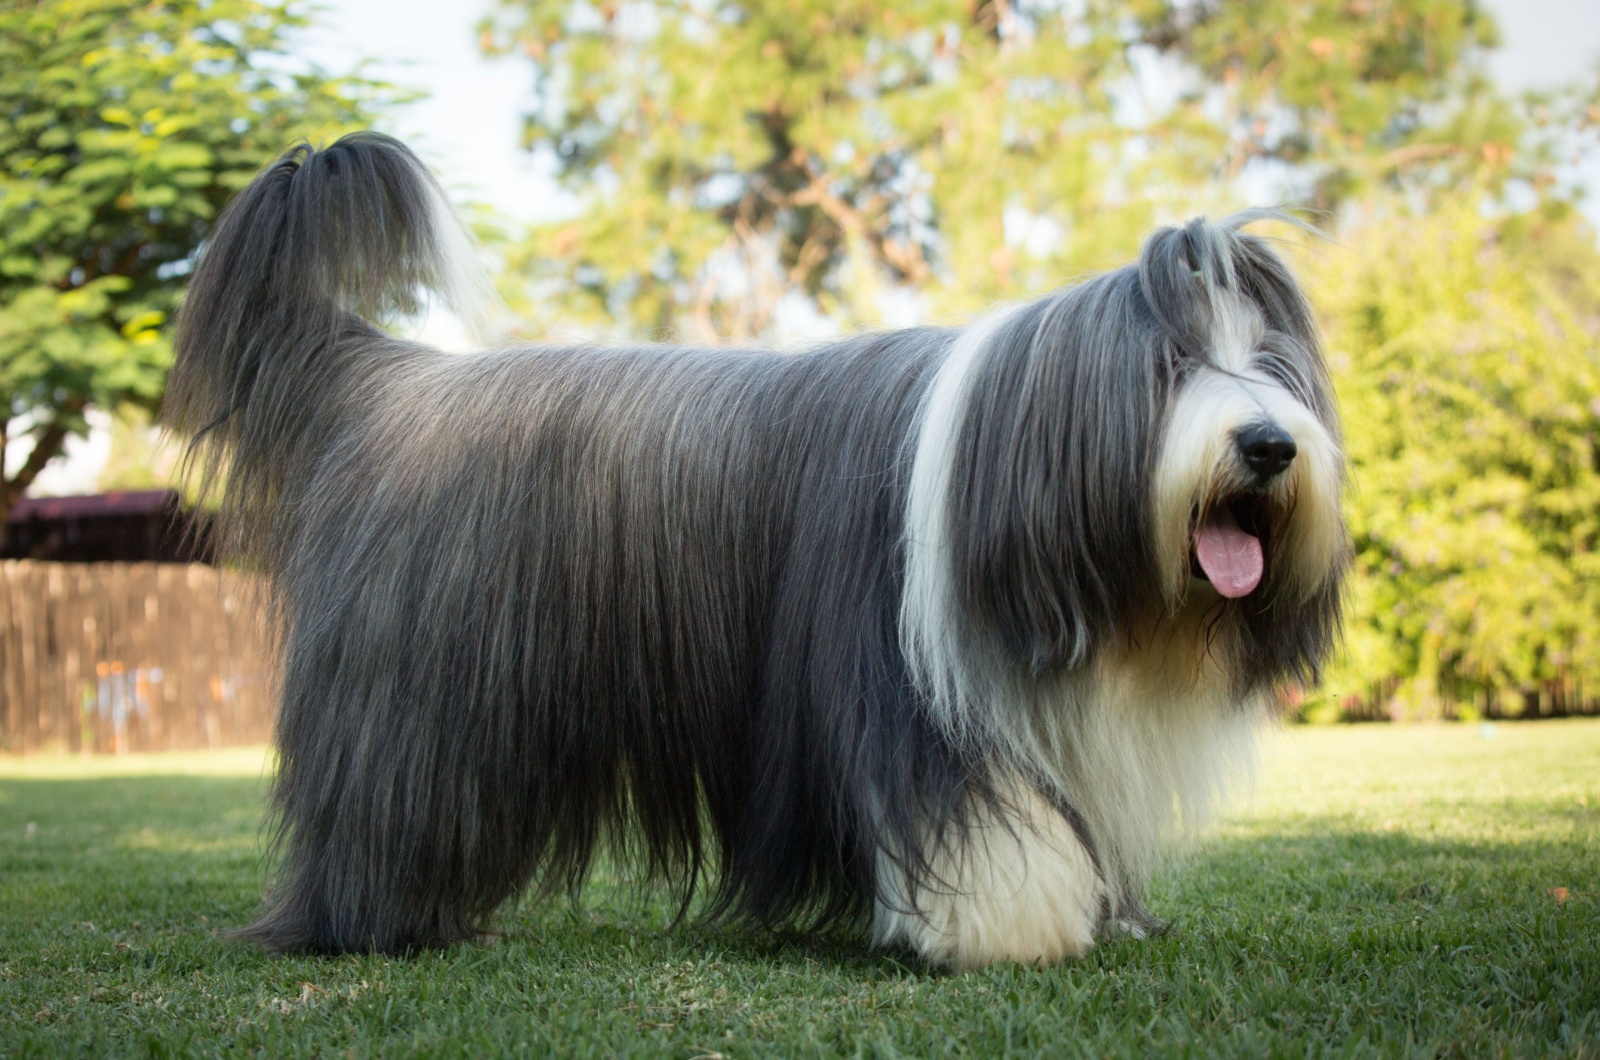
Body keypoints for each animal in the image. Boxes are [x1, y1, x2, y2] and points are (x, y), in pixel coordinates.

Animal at [172, 130, 1350, 973]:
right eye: (1172, 364)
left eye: (1274, 367)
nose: (1268, 445)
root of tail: (388, 376)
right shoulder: (905, 693)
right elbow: (975, 818)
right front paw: (1005, 929)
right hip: (422, 698)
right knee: (385, 806)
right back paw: (376, 924)